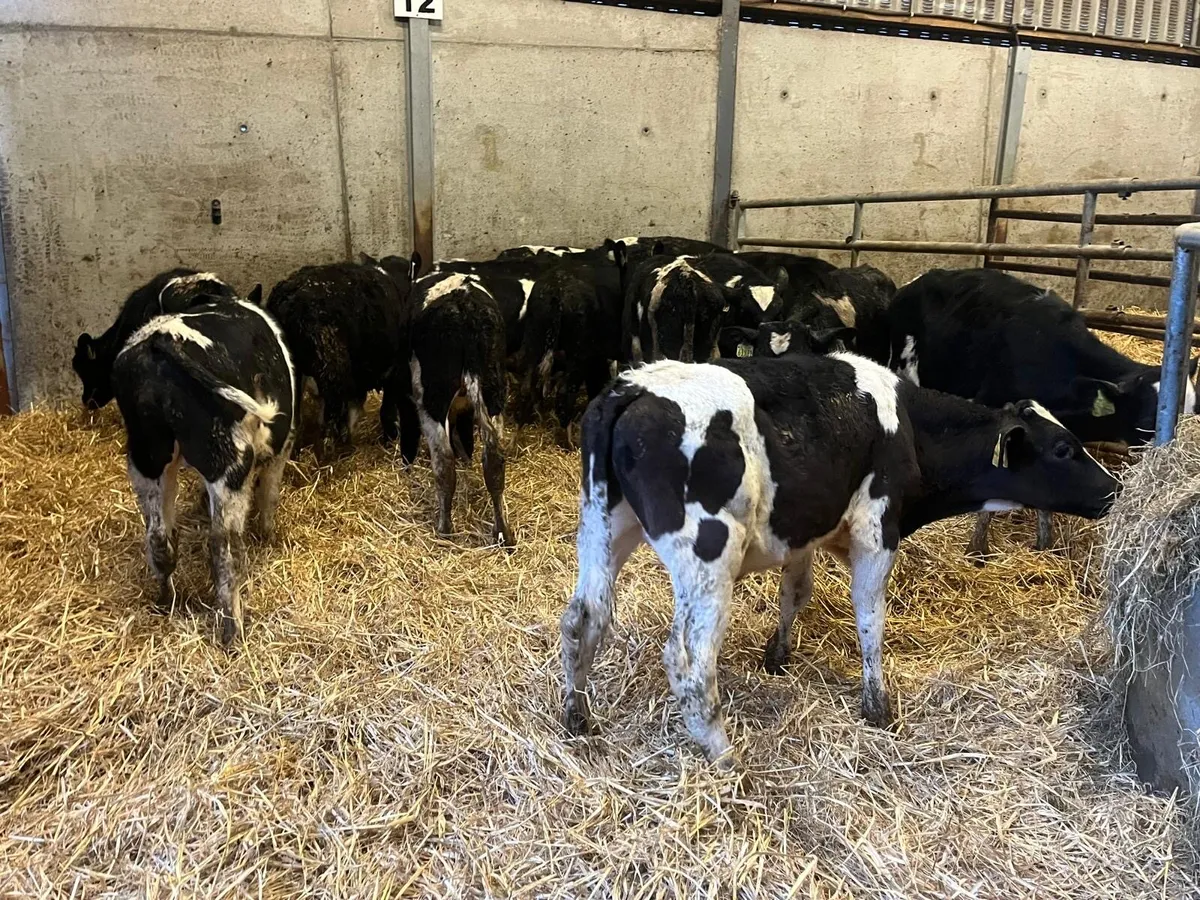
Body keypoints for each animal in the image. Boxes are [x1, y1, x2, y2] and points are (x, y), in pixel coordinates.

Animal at [110, 291, 295, 646]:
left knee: (159, 538)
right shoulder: (282, 443)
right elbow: (270, 495)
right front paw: (270, 536)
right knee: (225, 549)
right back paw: (232, 632)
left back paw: (166, 601)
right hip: (228, 461)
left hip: (146, 458)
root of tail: (159, 343)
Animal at [266, 254, 416, 459]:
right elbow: (385, 411)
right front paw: (389, 439)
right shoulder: (394, 368)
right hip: (331, 365)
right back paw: (327, 452)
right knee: (330, 418)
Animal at [407, 271, 514, 547]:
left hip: (431, 398)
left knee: (444, 462)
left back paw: (444, 529)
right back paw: (503, 532)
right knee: (494, 462)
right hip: (493, 392)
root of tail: (466, 307)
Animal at [559, 354, 1119, 767]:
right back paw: (726, 758)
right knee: (689, 662)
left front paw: (778, 656)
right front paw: (878, 707)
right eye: (1065, 449)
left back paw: (577, 718)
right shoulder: (878, 529)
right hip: (707, 555)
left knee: (583, 619)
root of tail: (631, 388)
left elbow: (794, 594)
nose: (1116, 488)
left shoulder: (803, 532)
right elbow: (870, 619)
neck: (910, 428)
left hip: (603, 527)